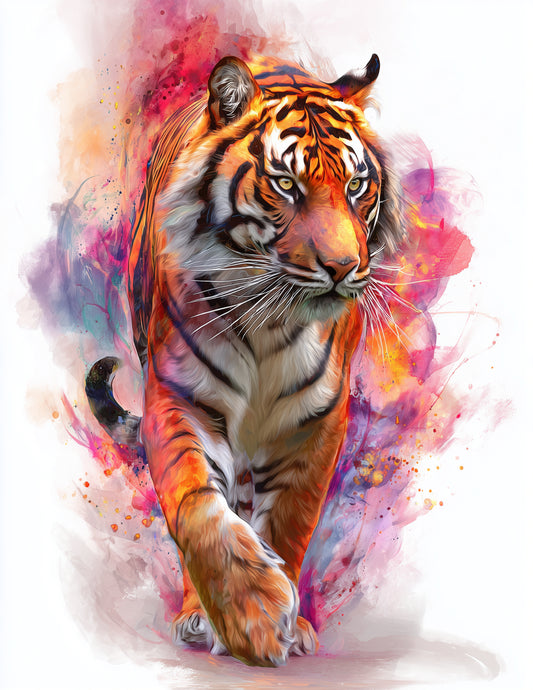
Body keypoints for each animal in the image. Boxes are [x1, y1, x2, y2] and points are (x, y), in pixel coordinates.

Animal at [86, 53, 403, 667]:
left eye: (356, 186)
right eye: (286, 184)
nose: (344, 267)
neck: (270, 321)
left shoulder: (316, 423)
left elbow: (288, 522)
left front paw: (287, 626)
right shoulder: (180, 400)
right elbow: (197, 507)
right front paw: (250, 616)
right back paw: (197, 617)